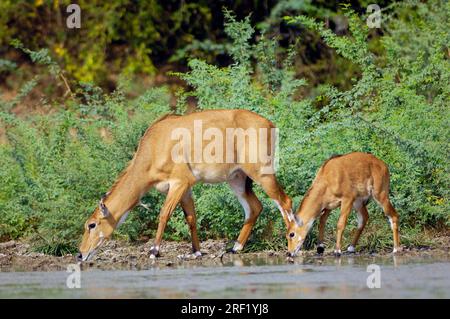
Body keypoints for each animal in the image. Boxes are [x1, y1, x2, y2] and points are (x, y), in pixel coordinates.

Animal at [77, 109, 294, 262]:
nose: (80, 254)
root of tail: (270, 125)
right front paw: (196, 252)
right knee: (254, 207)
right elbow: (191, 218)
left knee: (285, 202)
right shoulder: (186, 188)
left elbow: (164, 214)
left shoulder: (179, 182)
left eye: (91, 224)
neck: (154, 146)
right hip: (237, 178)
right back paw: (235, 248)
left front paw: (154, 251)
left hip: (261, 173)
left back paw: (292, 249)